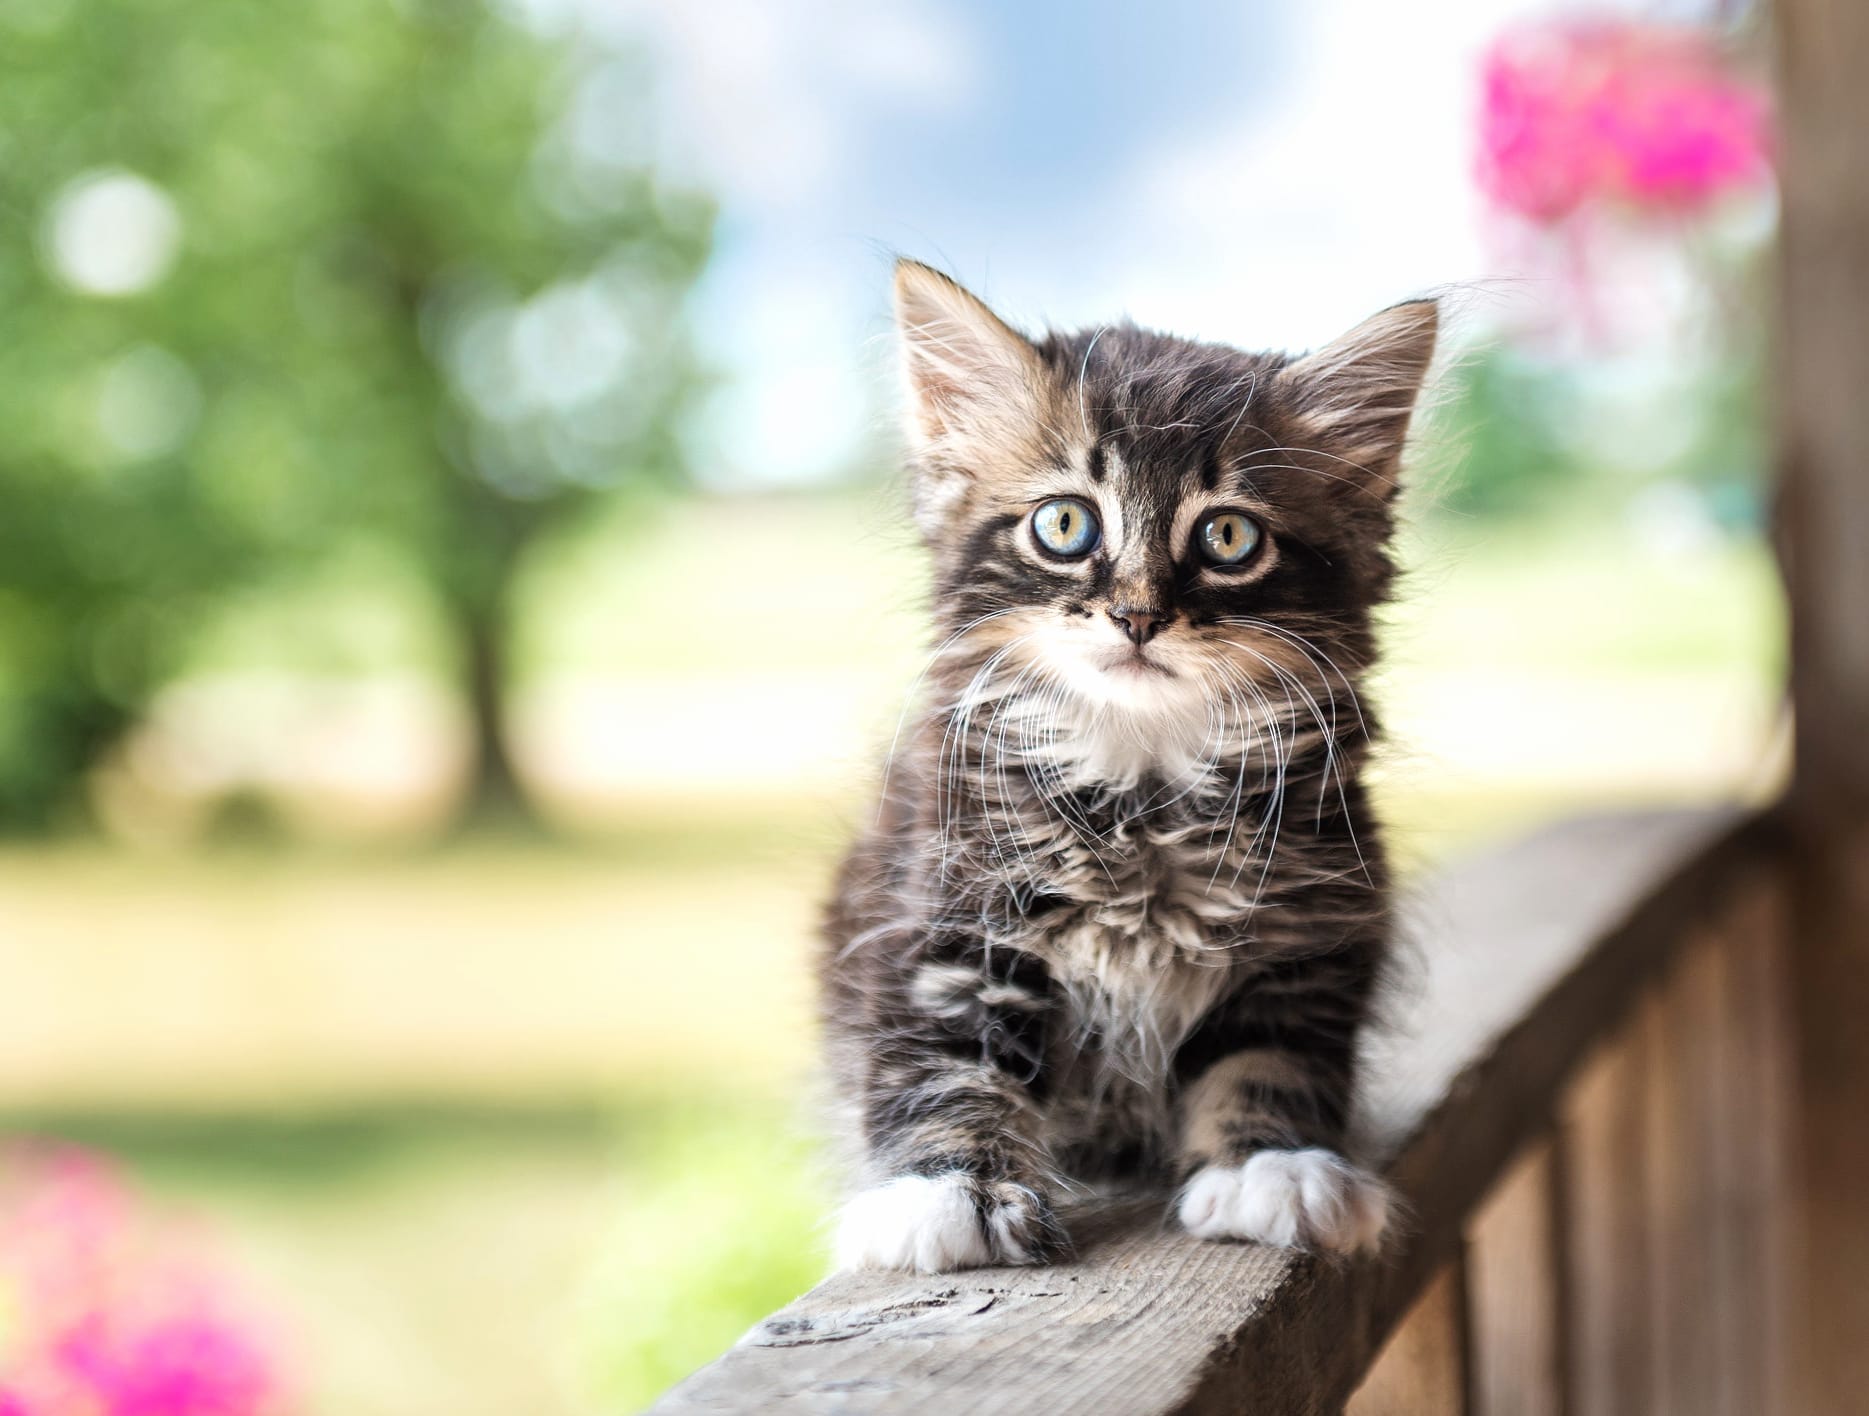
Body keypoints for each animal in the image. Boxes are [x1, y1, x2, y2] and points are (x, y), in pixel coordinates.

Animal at [814, 257, 1427, 1277]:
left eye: (1228, 538)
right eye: (1065, 524)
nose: (1138, 615)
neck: (1139, 793)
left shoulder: (1311, 934)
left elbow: (1271, 1057)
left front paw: (1272, 1166)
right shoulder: (937, 919)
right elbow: (946, 1058)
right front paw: (948, 1191)